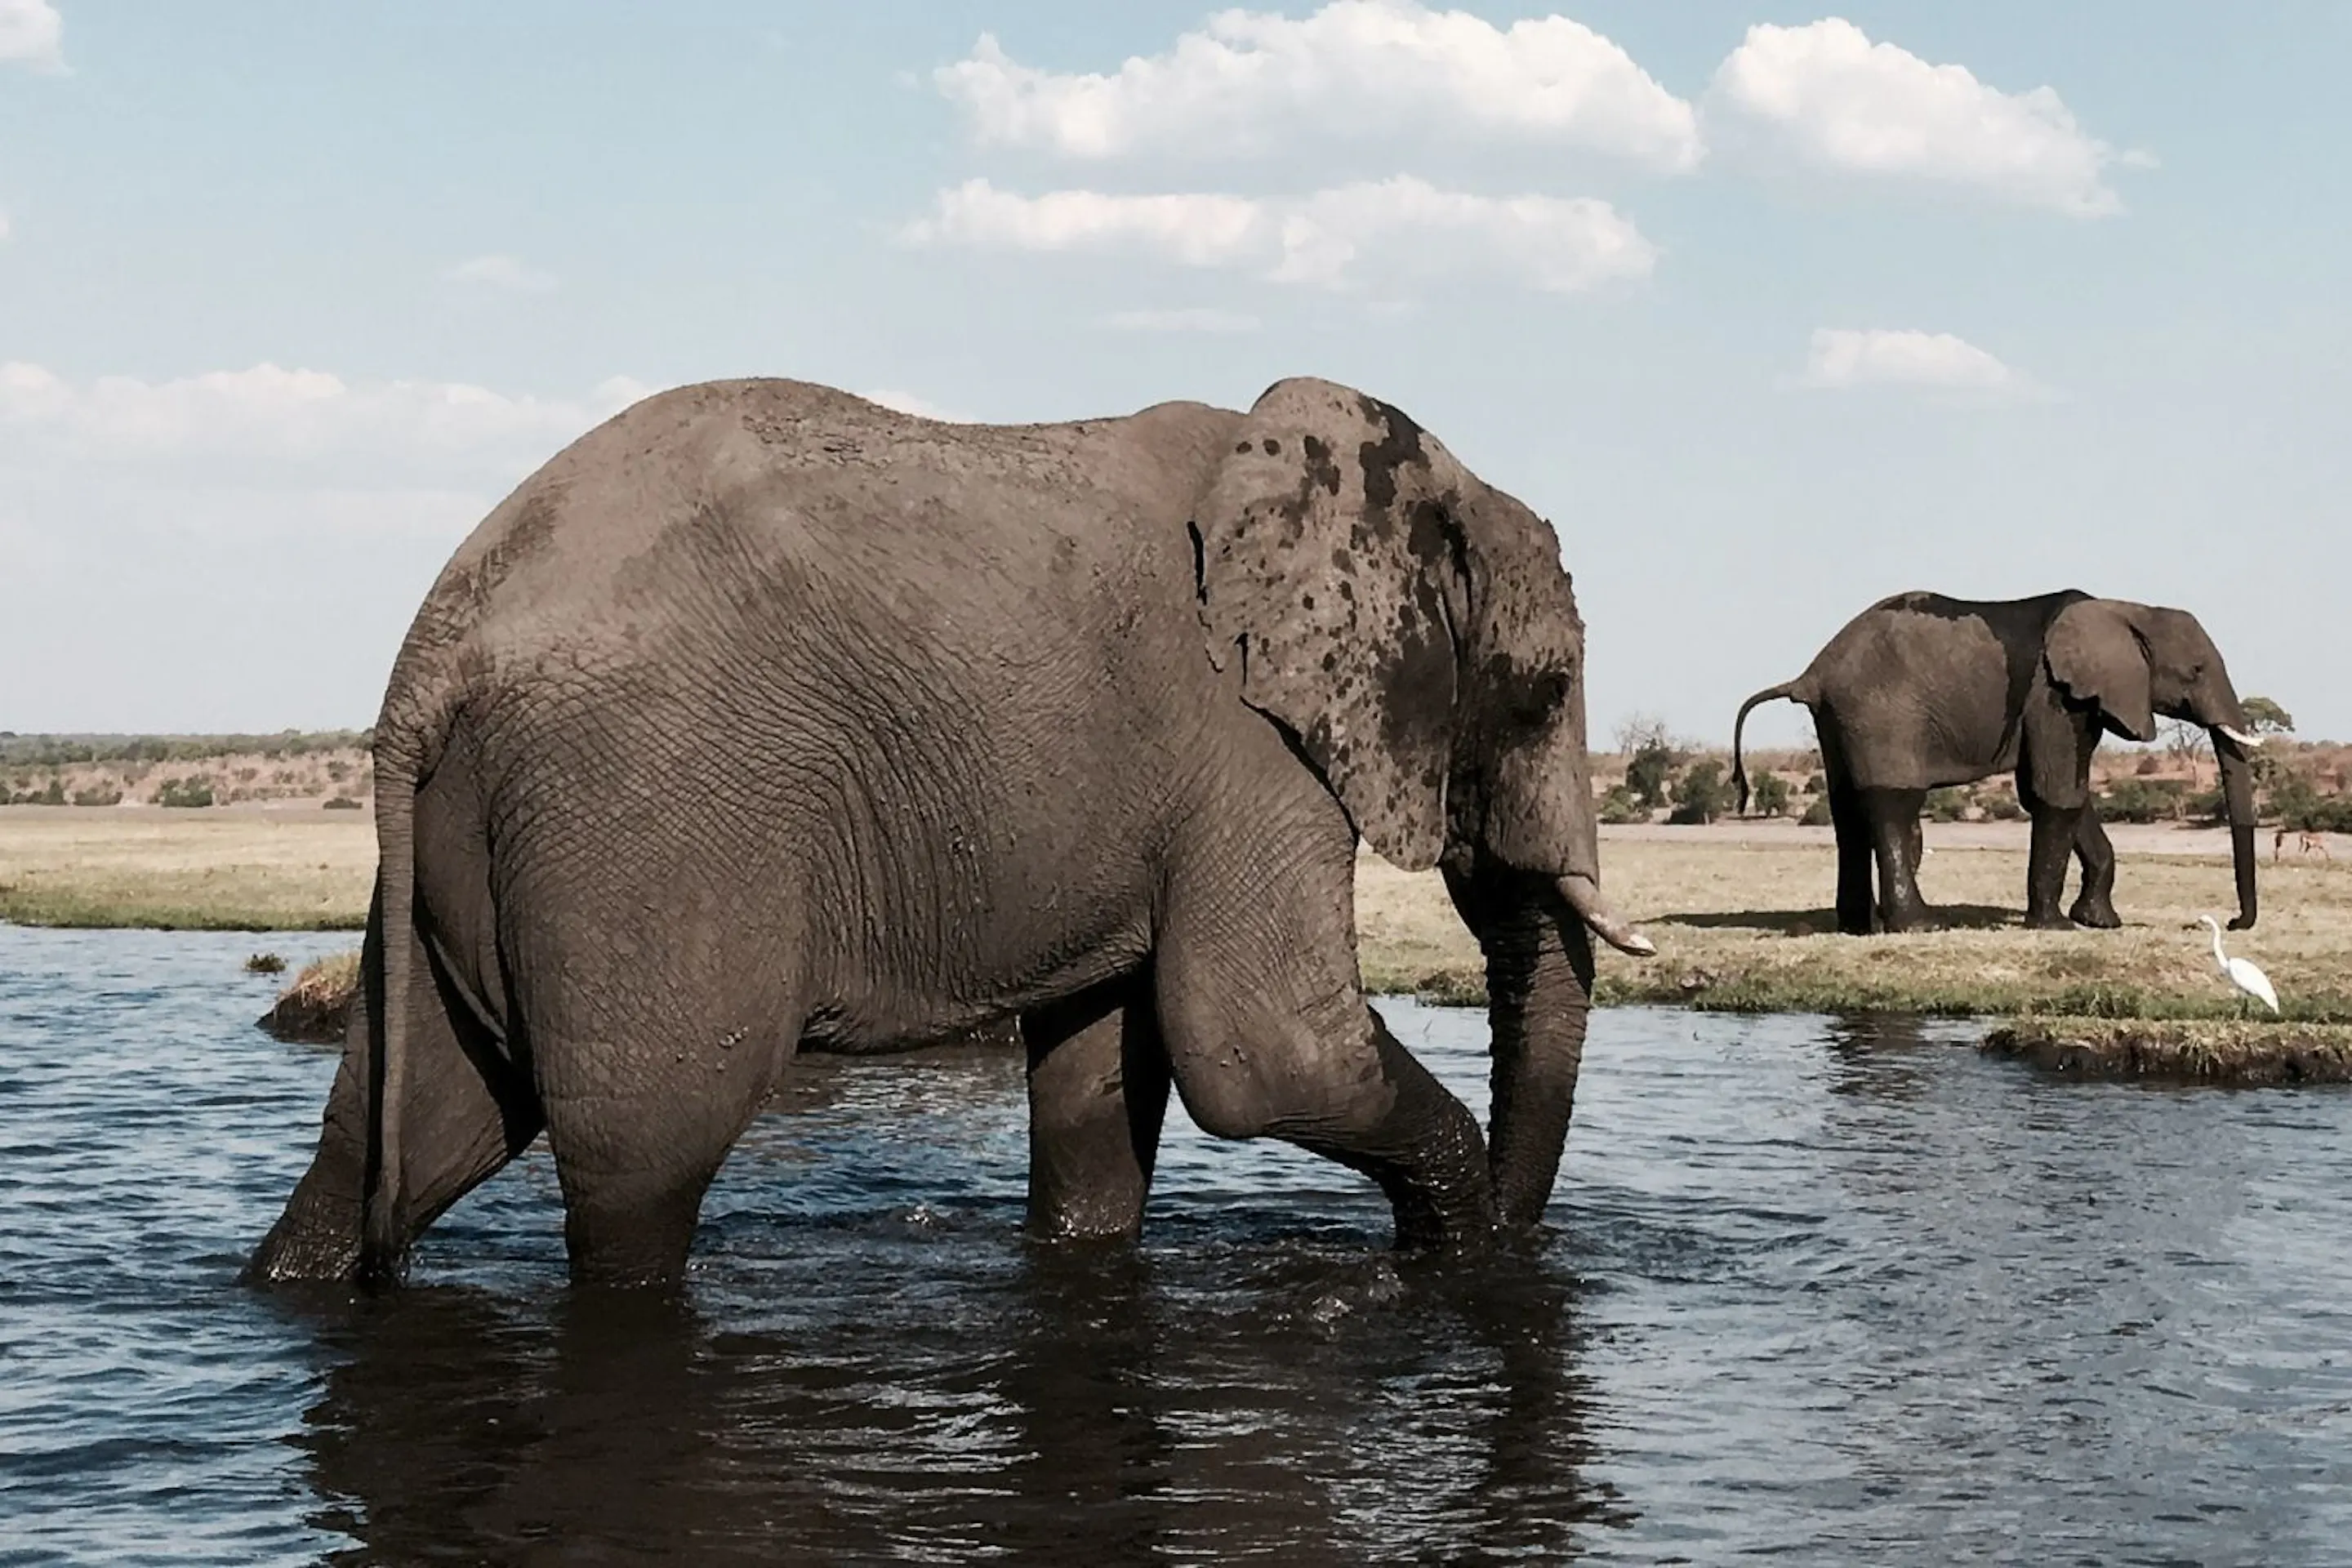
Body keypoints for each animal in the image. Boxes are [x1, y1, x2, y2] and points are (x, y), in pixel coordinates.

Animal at [246, 374, 1655, 1290]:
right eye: (1541, 694)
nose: (1531, 1250)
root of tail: (436, 641)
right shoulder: (1247, 743)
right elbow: (1263, 1052)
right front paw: (1466, 1259)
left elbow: (1100, 1082)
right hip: (638, 821)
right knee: (640, 1171)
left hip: (467, 847)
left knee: (401, 1132)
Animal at [1730, 590, 2263, 937]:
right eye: (2196, 670)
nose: (2232, 922)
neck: (2125, 608)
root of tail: (1812, 674)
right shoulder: (2056, 694)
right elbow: (2057, 792)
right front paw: (2055, 928)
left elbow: (2059, 792)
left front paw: (2099, 922)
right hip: (1880, 713)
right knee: (1892, 805)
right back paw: (1920, 926)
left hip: (1840, 720)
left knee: (1848, 813)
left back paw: (1858, 927)